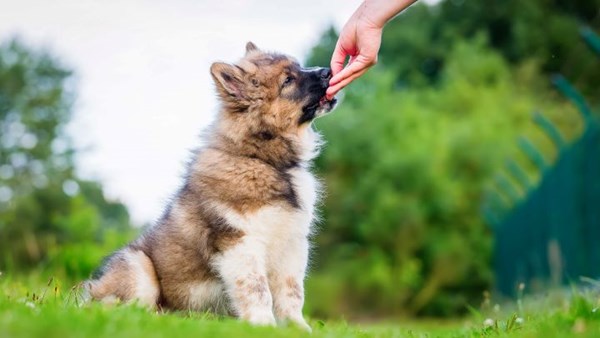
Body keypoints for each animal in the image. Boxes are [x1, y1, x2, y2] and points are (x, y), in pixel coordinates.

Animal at [85, 40, 338, 330]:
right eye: (288, 80)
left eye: (298, 67)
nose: (329, 71)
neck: (263, 160)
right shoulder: (241, 243)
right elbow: (257, 288)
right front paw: (263, 324)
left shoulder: (292, 245)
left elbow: (292, 292)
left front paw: (297, 328)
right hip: (138, 267)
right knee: (119, 308)